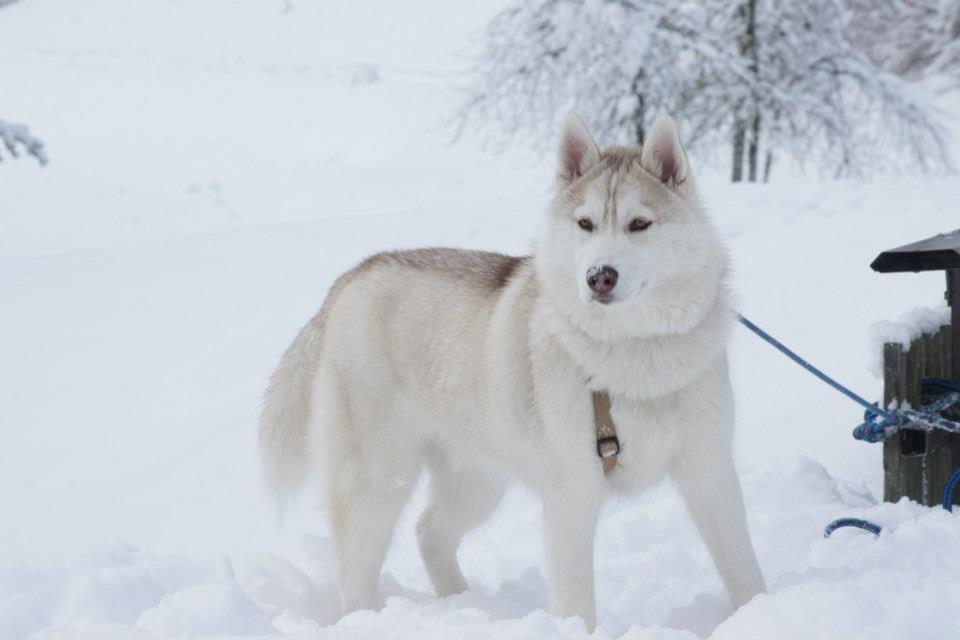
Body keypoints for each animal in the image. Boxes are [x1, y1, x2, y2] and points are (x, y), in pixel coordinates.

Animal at [258, 112, 768, 628]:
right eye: (585, 224)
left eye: (639, 223)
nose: (599, 276)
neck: (634, 358)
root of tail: (350, 279)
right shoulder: (572, 492)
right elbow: (576, 601)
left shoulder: (709, 471)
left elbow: (746, 572)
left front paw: (763, 611)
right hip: (377, 481)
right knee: (356, 573)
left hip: (476, 478)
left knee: (429, 532)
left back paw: (466, 605)